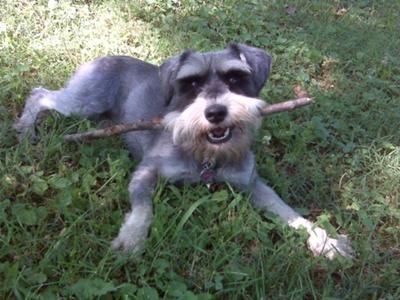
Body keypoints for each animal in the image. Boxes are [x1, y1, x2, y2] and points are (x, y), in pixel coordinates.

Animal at [14, 43, 354, 258]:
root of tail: (102, 57)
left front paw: (326, 241)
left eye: (235, 78)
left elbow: (288, 211)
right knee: (40, 94)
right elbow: (143, 209)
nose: (215, 113)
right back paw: (25, 129)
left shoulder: (252, 184)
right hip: (84, 102)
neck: (205, 155)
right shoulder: (146, 172)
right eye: (190, 84)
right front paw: (131, 239)